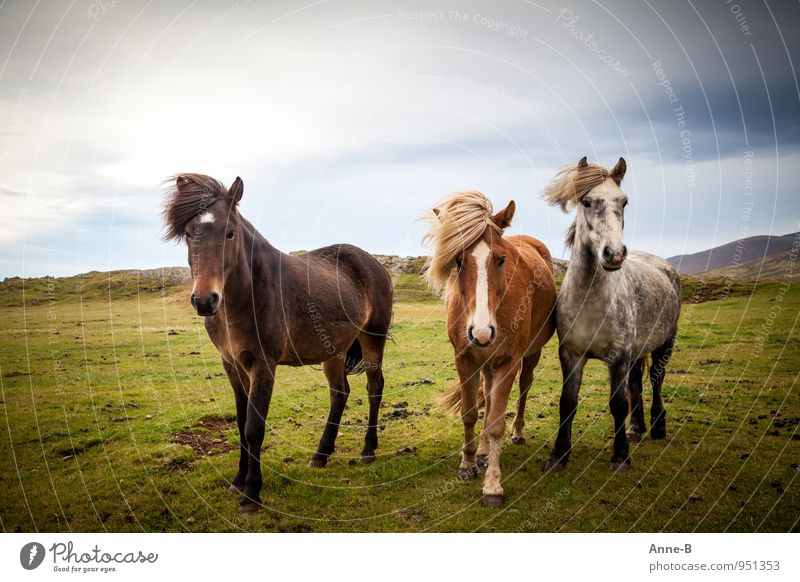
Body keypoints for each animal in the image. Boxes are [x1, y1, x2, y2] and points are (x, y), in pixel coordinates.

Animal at [163, 175, 394, 516]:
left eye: (230, 232)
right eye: (190, 234)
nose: (205, 300)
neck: (246, 296)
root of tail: (373, 264)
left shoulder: (263, 364)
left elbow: (254, 428)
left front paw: (251, 494)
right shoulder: (232, 364)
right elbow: (241, 422)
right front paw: (237, 481)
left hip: (372, 339)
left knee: (374, 387)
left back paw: (368, 450)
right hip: (334, 351)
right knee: (339, 393)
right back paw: (320, 455)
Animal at [422, 190, 560, 506]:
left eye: (501, 259)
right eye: (458, 260)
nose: (482, 332)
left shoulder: (508, 361)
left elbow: (496, 422)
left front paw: (493, 486)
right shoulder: (465, 359)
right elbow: (471, 413)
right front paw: (468, 464)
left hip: (529, 355)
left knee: (523, 388)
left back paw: (517, 433)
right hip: (484, 362)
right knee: (486, 393)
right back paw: (483, 452)